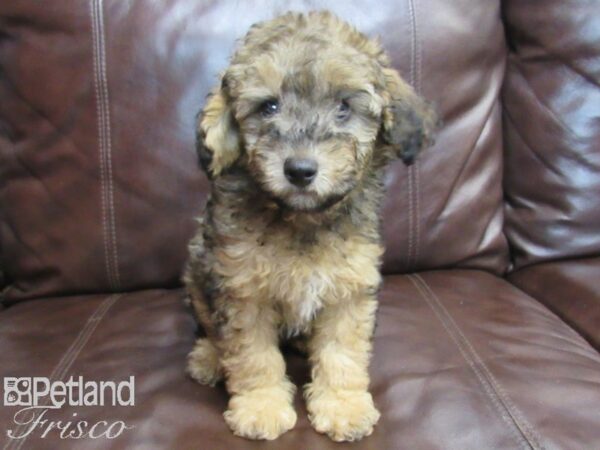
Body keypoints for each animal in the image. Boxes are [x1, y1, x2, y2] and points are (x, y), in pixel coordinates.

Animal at [183, 11, 436, 442]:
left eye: (343, 107)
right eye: (268, 106)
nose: (299, 169)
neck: (301, 218)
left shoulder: (349, 289)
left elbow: (342, 353)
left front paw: (343, 405)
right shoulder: (242, 290)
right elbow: (253, 355)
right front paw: (261, 406)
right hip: (198, 268)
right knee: (209, 326)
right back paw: (209, 358)